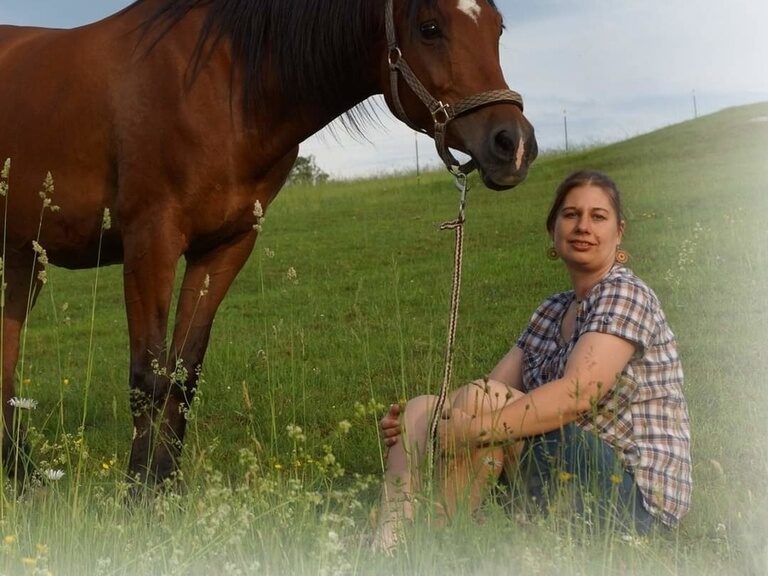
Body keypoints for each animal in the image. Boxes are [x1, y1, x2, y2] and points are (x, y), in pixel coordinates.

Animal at [0, 0, 537, 488]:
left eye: (498, 27)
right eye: (429, 28)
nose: (513, 145)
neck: (221, 84)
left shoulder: (225, 247)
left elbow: (184, 373)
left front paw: (166, 487)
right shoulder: (150, 241)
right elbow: (148, 377)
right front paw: (140, 494)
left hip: (22, 260)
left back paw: (22, 474)